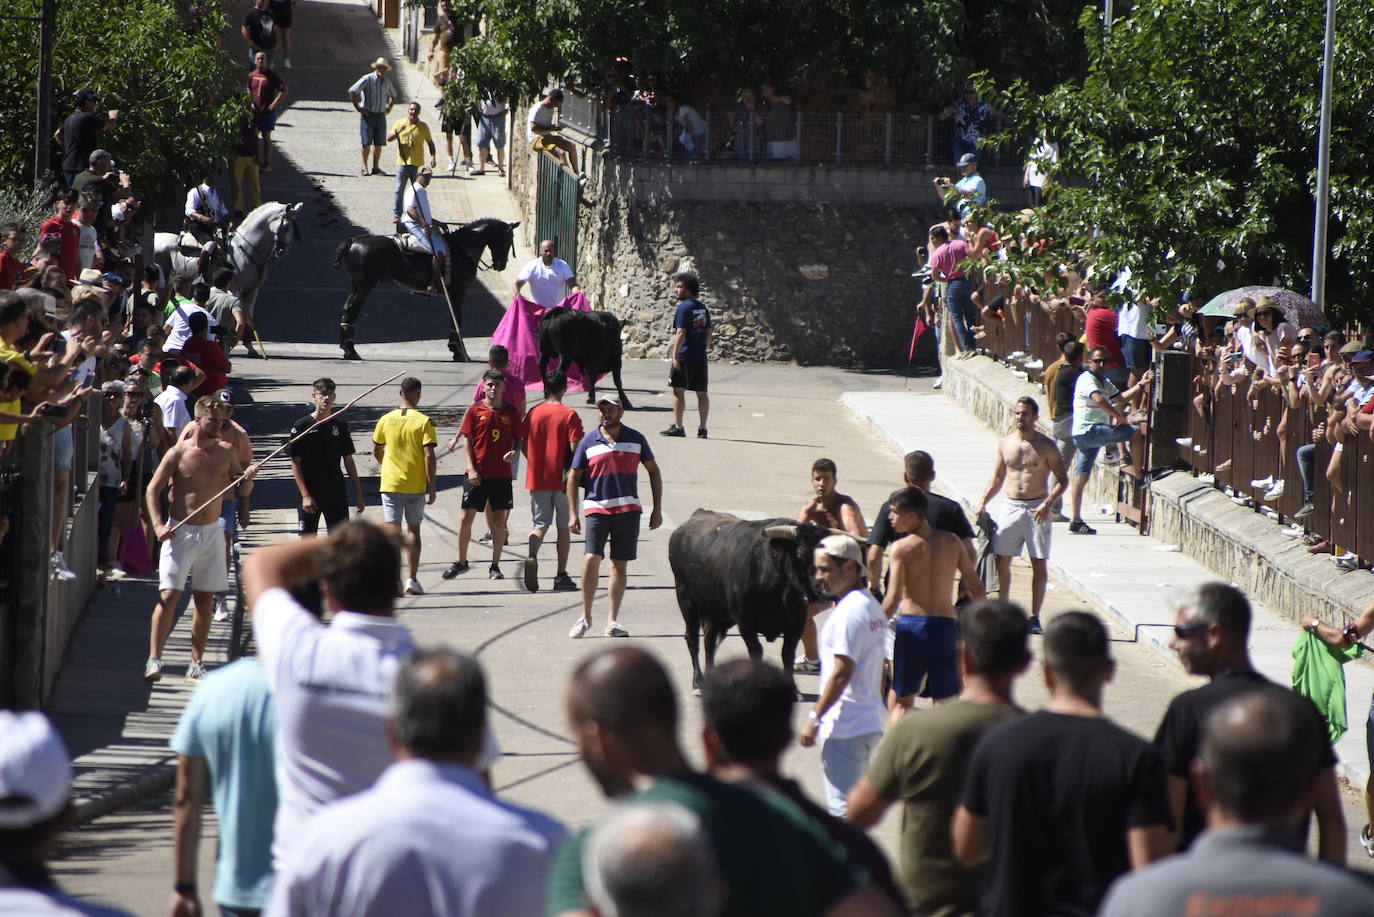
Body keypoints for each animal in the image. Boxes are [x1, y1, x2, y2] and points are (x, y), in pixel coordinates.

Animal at [155, 200, 306, 318]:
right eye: (285, 226)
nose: (281, 251)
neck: (245, 249)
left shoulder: (252, 291)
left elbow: (248, 317)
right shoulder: (234, 290)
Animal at [332, 217, 519, 360]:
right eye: (508, 240)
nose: (501, 265)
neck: (462, 249)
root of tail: (354, 241)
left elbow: (454, 319)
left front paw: (455, 349)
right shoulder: (458, 292)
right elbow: (457, 319)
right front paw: (460, 352)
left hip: (357, 287)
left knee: (347, 310)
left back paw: (348, 349)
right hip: (364, 287)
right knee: (351, 311)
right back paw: (351, 350)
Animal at [667, 508, 829, 687]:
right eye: (800, 555)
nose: (821, 590)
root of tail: (698, 514)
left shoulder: (797, 624)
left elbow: (787, 654)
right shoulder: (746, 623)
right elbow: (756, 652)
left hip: (712, 609)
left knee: (709, 641)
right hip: (686, 599)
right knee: (693, 639)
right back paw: (697, 680)